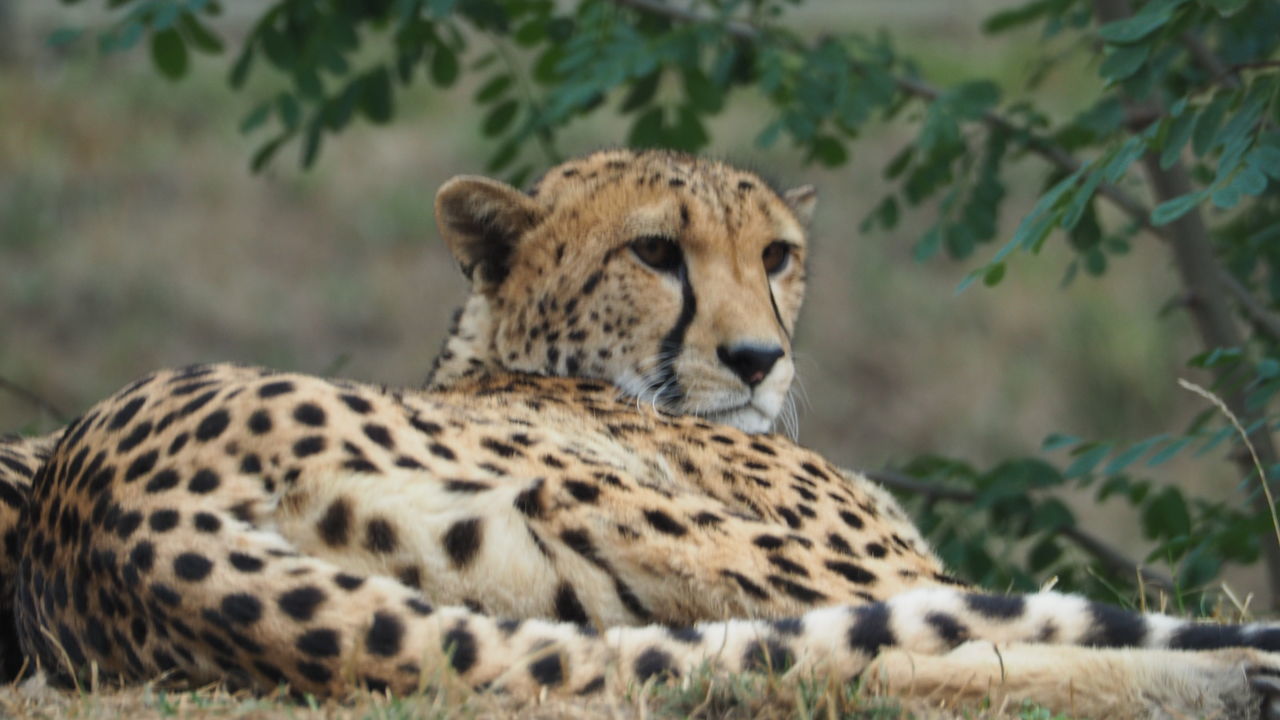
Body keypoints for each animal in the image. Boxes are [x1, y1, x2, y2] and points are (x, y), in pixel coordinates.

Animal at [2, 148, 1280, 712]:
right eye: (656, 253)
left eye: (777, 256)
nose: (759, 359)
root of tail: (108, 518)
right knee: (918, 652)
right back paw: (1230, 672)